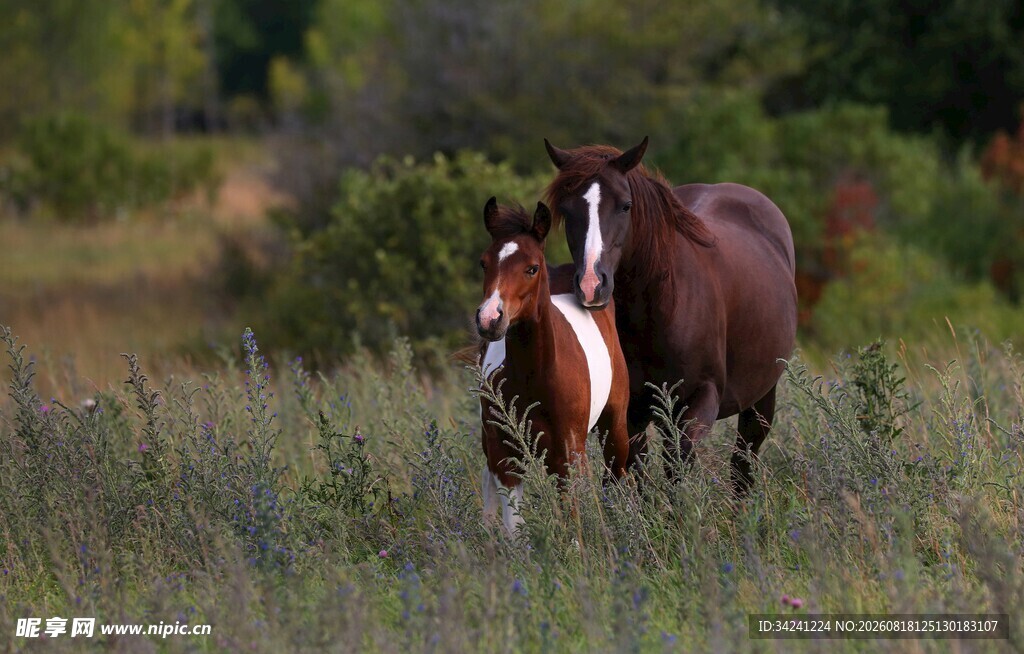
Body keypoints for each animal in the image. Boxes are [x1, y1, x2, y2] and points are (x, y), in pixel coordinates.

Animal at [475, 198, 630, 535]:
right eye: (484, 263)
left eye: (532, 268)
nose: (489, 319)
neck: (534, 376)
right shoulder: (506, 454)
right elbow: (514, 527)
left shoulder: (568, 454)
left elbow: (573, 517)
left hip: (614, 427)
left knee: (617, 475)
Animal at [543, 137, 797, 493]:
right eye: (567, 211)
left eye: (625, 205)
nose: (592, 285)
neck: (659, 313)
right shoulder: (630, 412)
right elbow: (634, 471)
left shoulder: (700, 401)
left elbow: (677, 469)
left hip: (760, 400)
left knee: (742, 465)